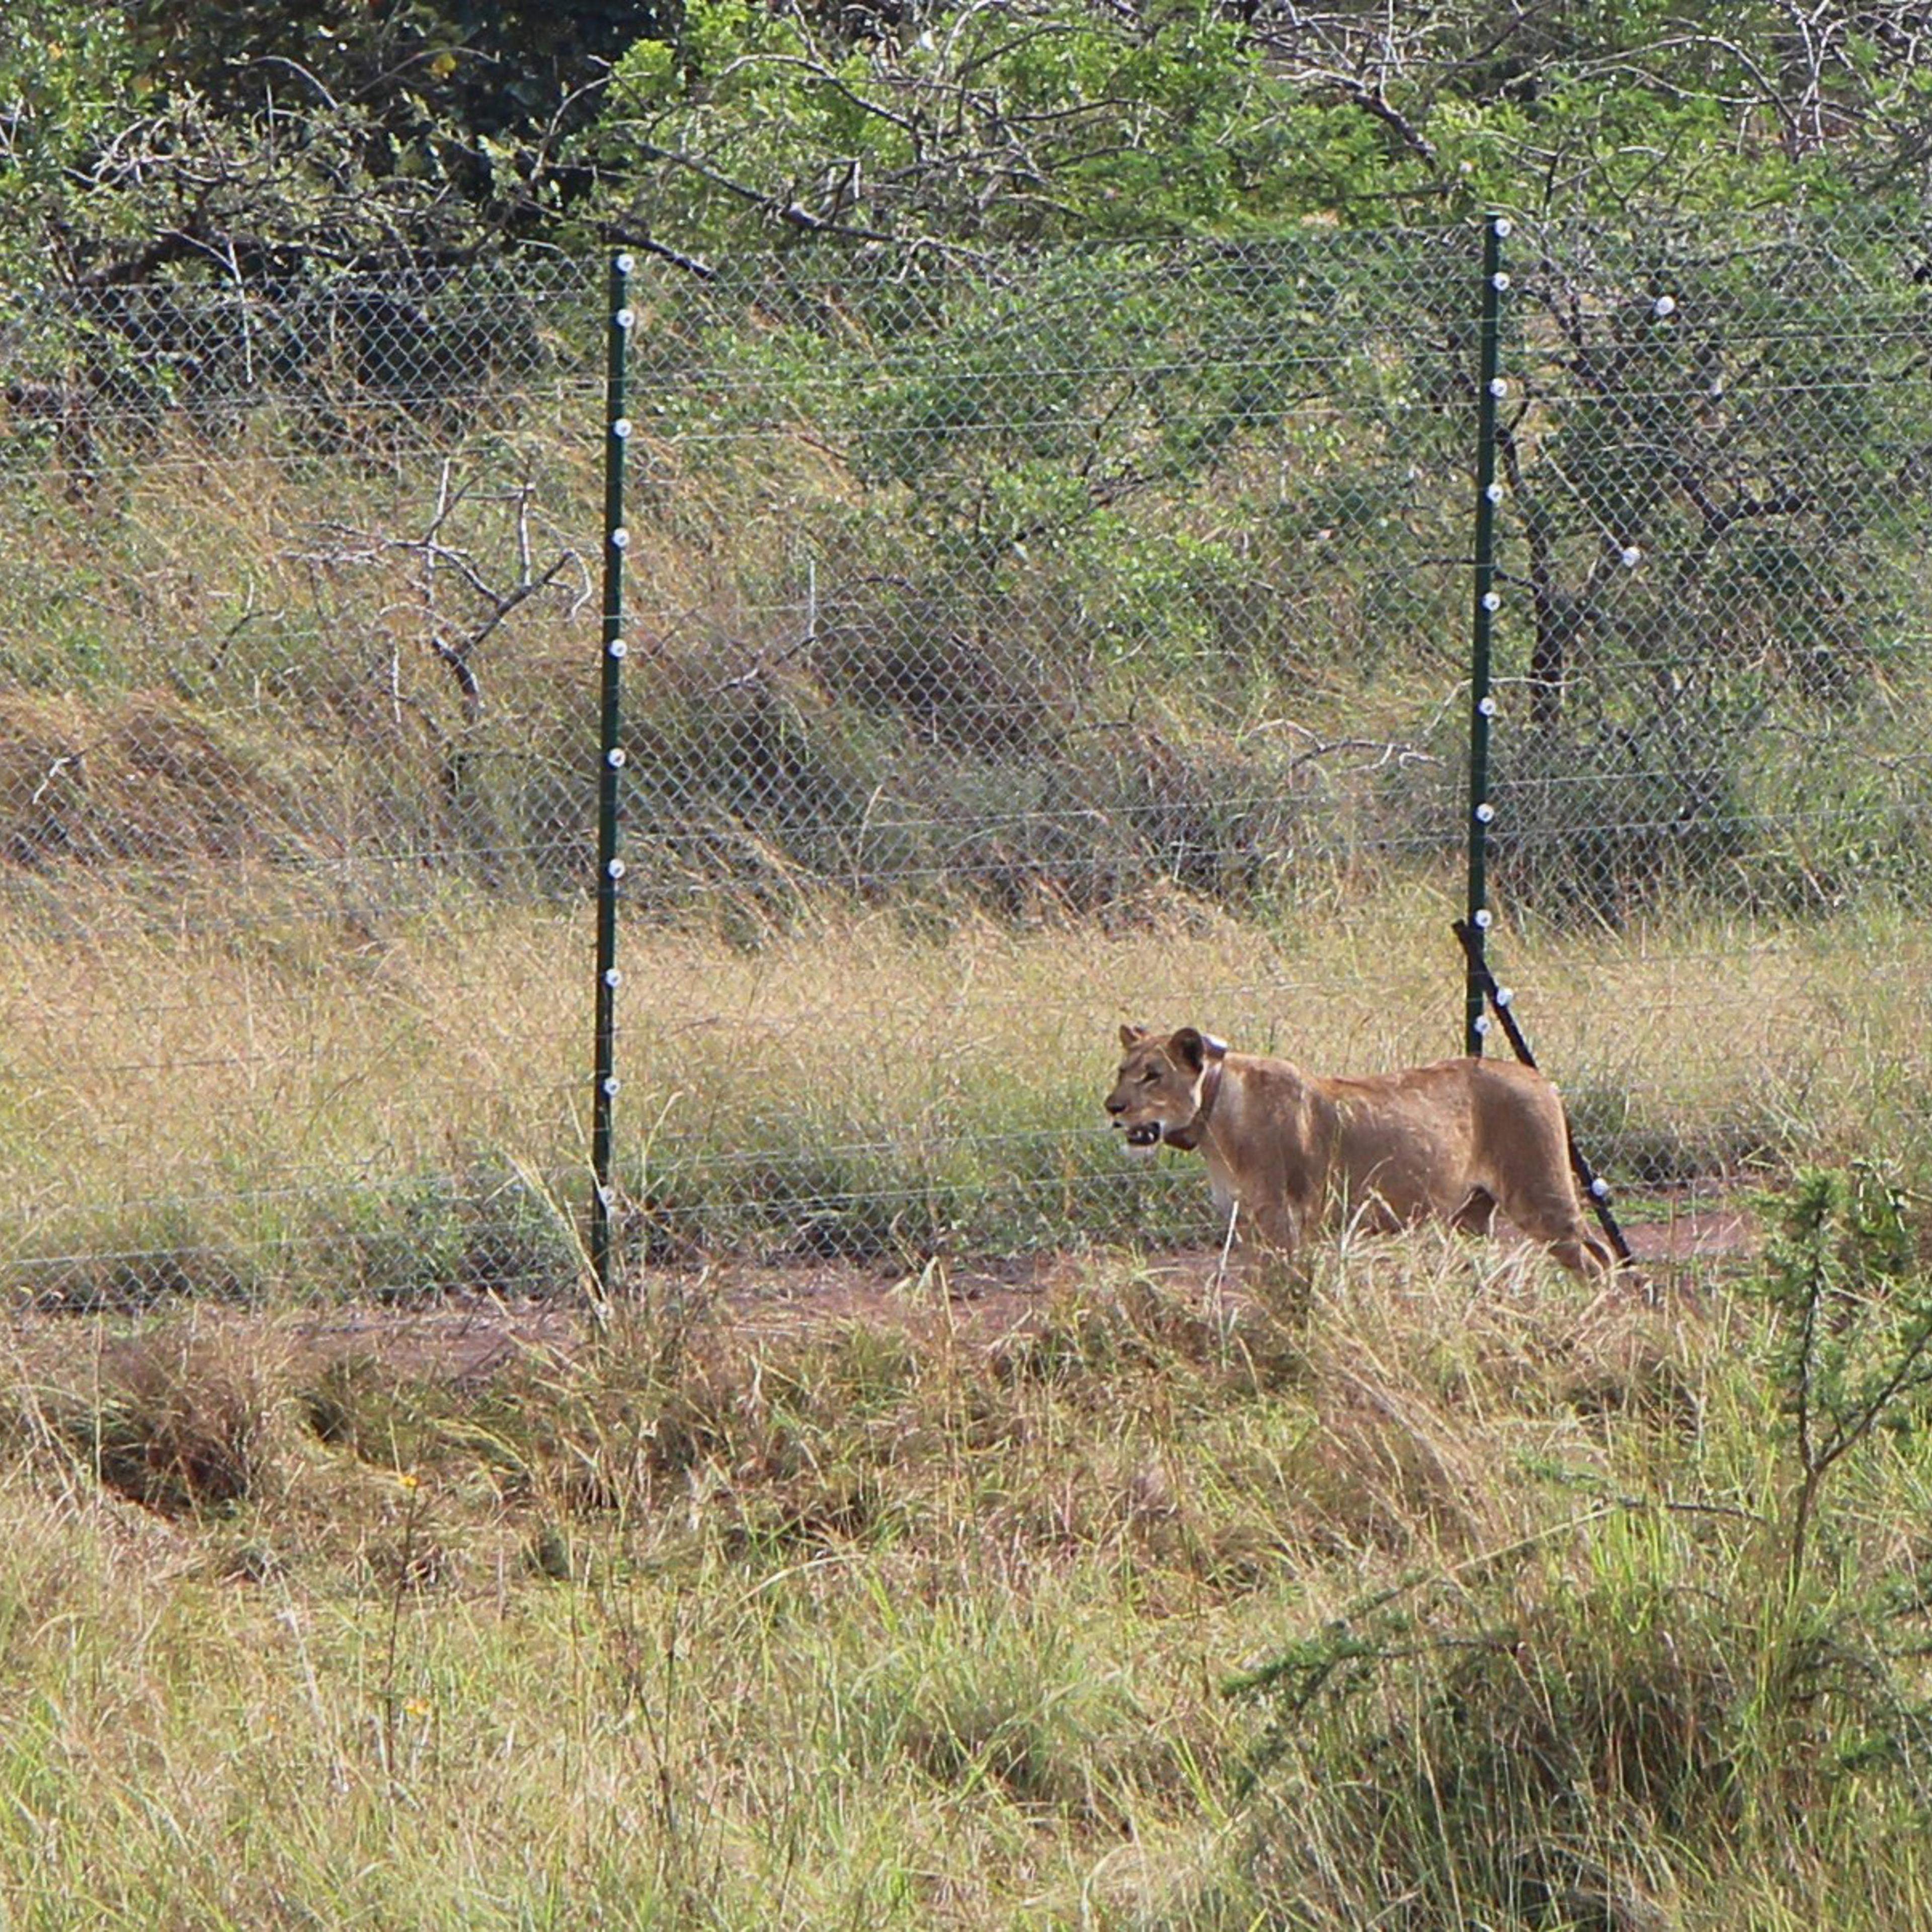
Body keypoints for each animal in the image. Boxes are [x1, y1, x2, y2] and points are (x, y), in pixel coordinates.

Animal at [1105, 1024, 1614, 1282]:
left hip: (1541, 1196)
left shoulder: (1282, 1222)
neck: (1215, 1115)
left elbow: (1286, 1291)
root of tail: (1540, 1079)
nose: (1113, 1107)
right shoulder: (1245, 1224)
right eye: (1122, 1071)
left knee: (1598, 1260)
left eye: (1153, 1075)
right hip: (1474, 1213)